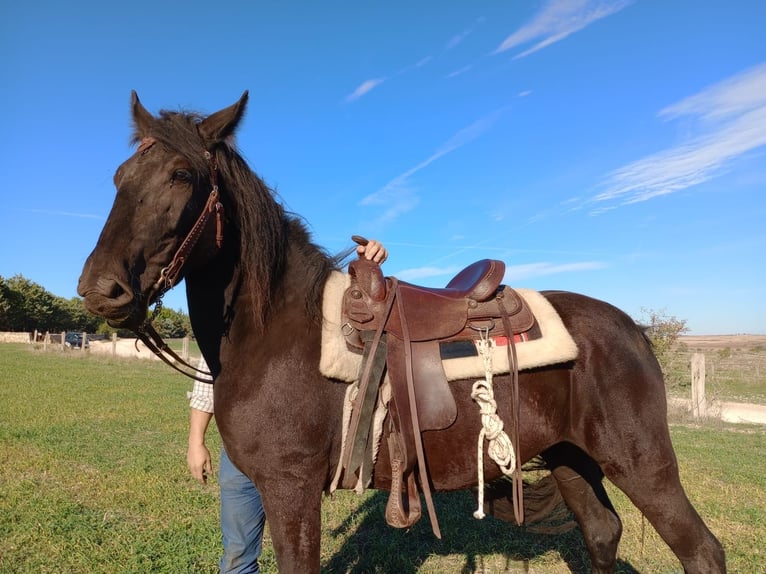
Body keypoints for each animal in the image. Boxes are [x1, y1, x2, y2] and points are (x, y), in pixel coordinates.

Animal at [78, 92, 728, 572]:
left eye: (181, 174)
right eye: (118, 176)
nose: (99, 289)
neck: (276, 333)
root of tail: (632, 329)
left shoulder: (290, 490)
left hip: (643, 465)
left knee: (702, 551)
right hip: (571, 457)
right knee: (601, 533)